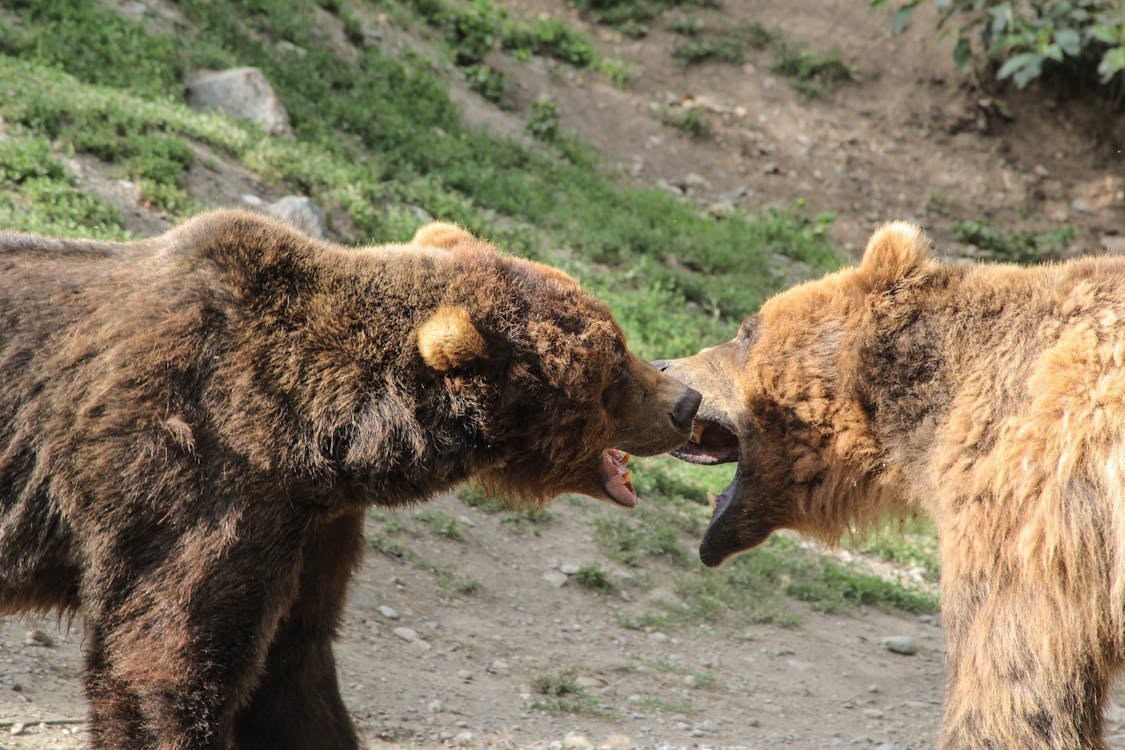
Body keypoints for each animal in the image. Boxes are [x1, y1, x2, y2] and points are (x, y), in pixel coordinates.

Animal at [0, 210, 697, 750]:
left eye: (618, 338)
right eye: (614, 366)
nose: (685, 402)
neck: (321, 437)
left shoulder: (310, 528)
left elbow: (292, 666)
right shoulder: (192, 480)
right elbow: (163, 664)